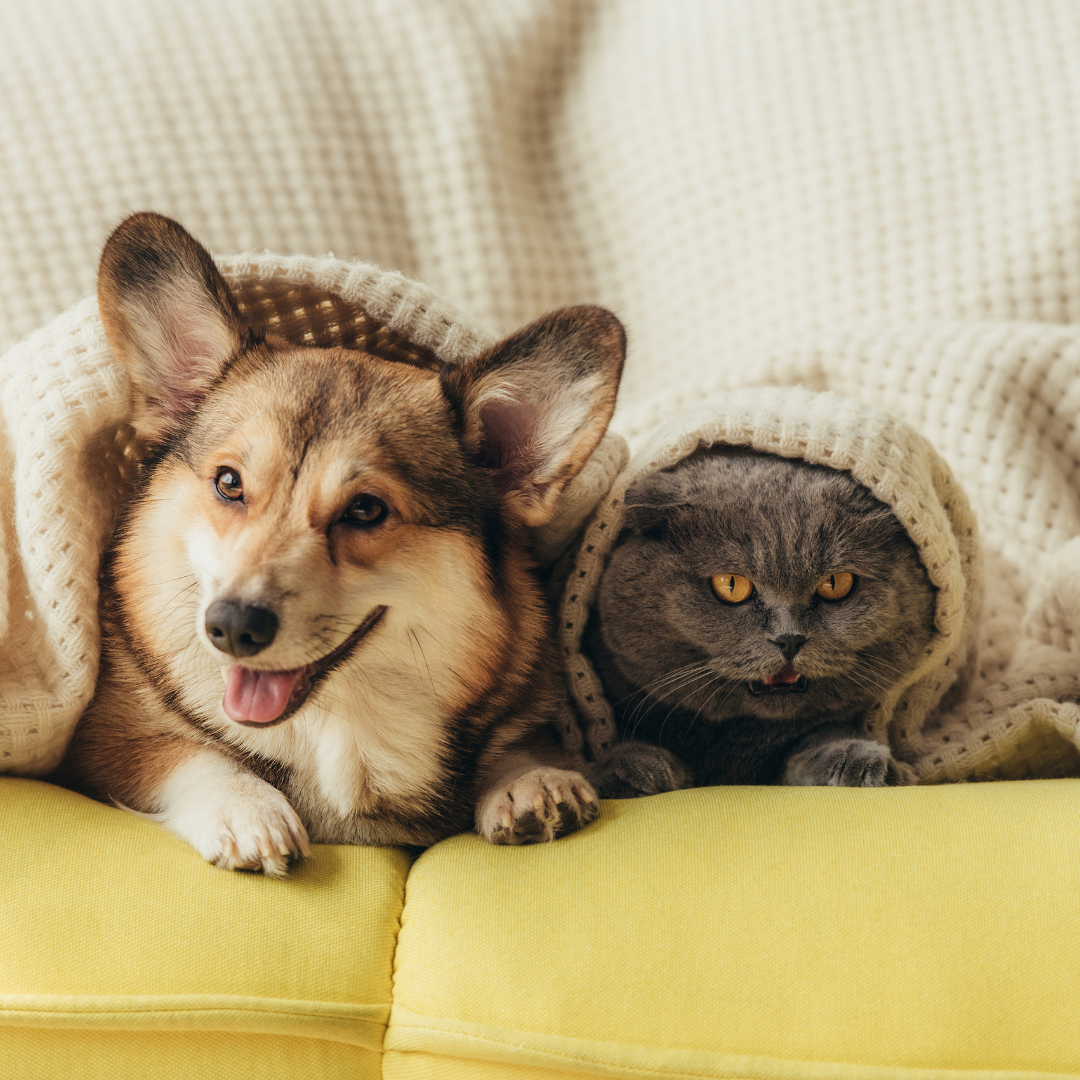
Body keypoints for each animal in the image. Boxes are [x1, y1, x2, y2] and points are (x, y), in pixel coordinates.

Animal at [59, 212, 630, 876]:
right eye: (229, 483)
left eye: (365, 510)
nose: (230, 627)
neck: (340, 726)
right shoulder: (104, 739)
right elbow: (185, 753)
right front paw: (246, 808)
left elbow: (521, 745)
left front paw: (532, 778)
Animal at [583, 444, 937, 794]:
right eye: (731, 584)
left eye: (836, 583)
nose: (790, 639)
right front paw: (632, 770)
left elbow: (821, 733)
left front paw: (862, 760)